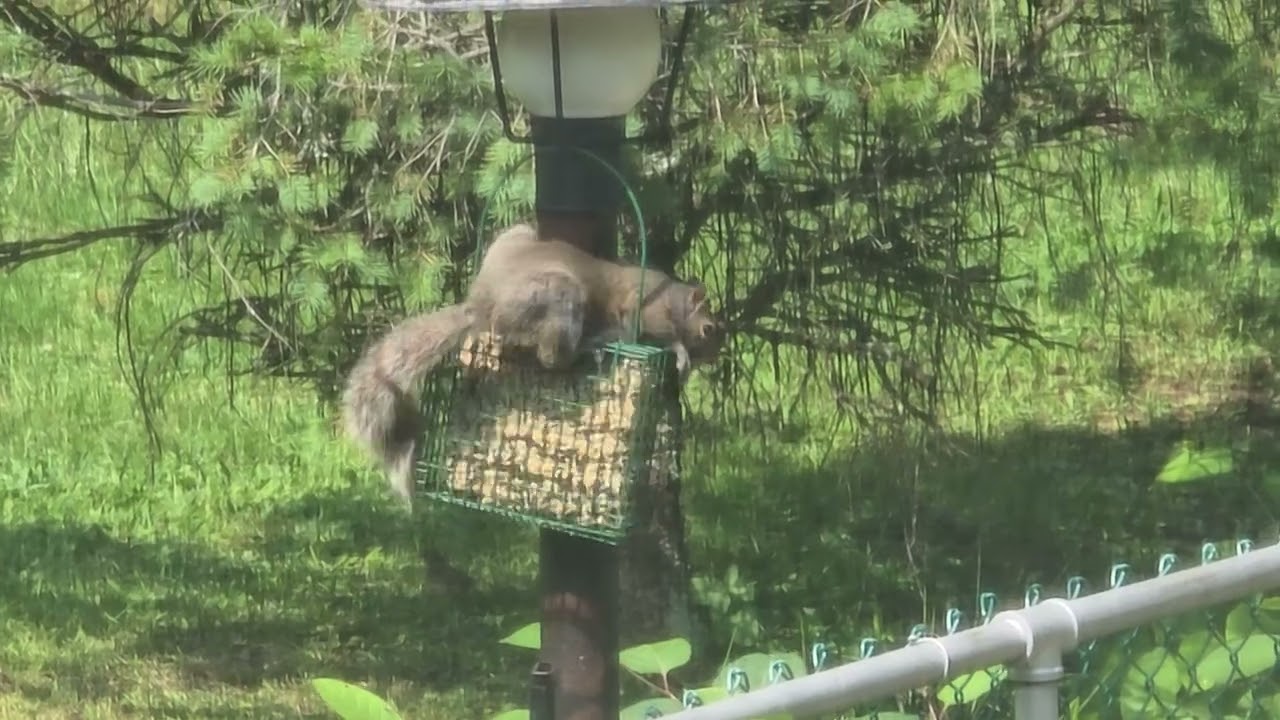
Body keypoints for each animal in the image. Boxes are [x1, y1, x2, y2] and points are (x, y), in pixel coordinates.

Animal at [341, 222, 724, 506]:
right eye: (708, 328)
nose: (716, 355)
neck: (672, 299)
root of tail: (481, 305)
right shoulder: (643, 308)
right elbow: (654, 331)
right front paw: (680, 353)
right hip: (558, 297)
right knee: (550, 357)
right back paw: (586, 349)